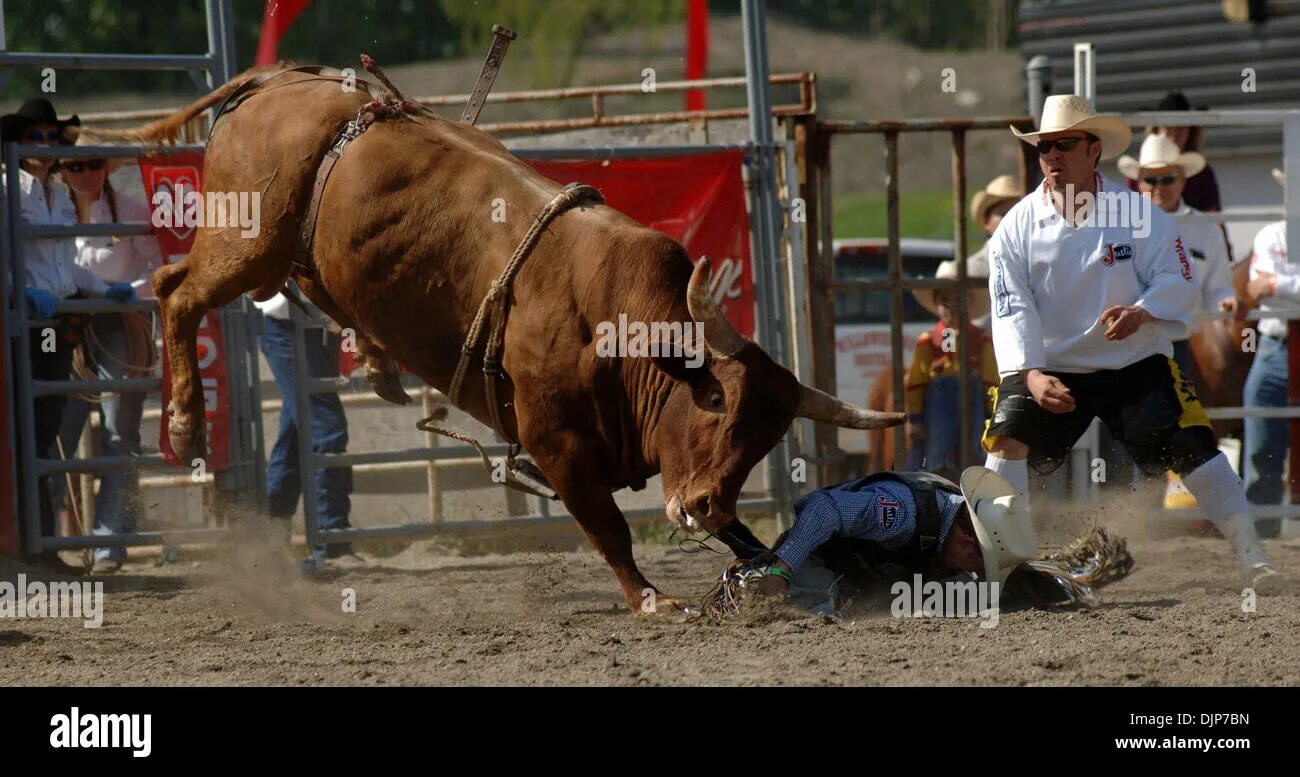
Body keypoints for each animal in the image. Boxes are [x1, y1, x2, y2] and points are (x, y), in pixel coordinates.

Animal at [101, 66, 899, 615]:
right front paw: (650, 598)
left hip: (292, 256)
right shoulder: (555, 442)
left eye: (765, 439)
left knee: (237, 284)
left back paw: (377, 365)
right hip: (248, 241)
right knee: (174, 292)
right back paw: (184, 423)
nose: (705, 507)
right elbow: (609, 526)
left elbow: (744, 541)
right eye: (716, 406)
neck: (618, 324)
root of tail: (279, 81)